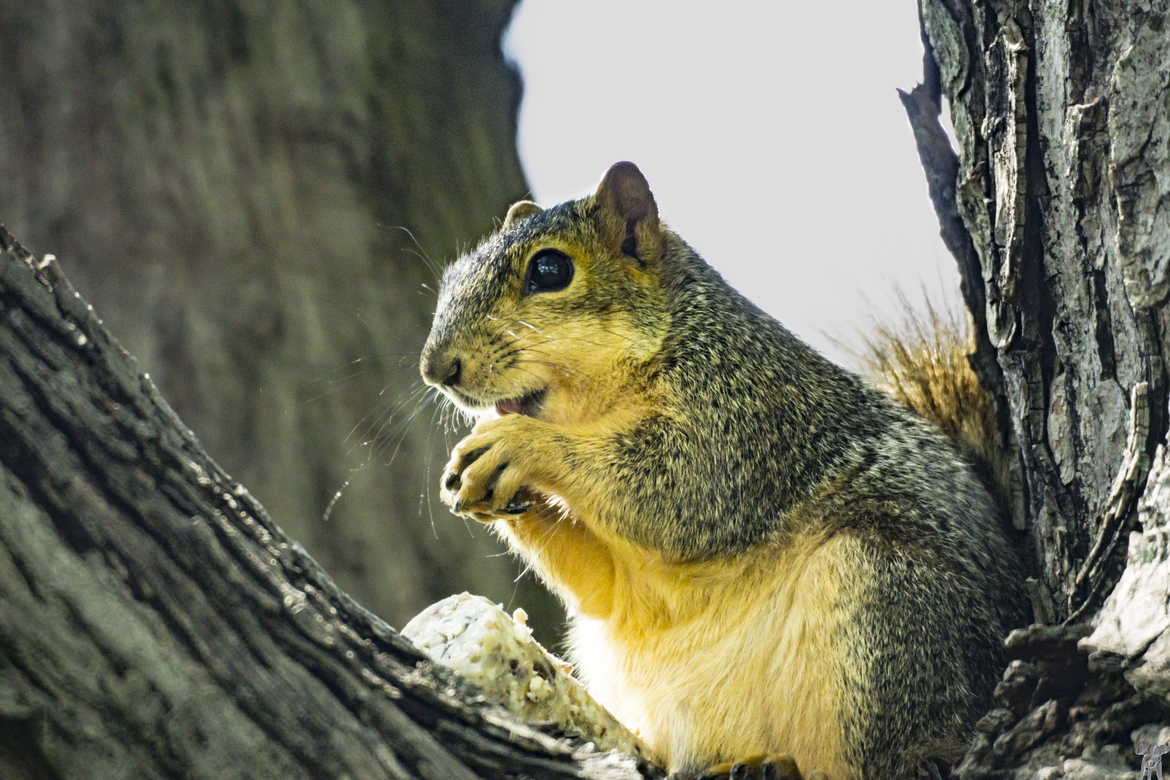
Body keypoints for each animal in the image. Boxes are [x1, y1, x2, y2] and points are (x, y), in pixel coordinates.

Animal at [419, 161, 1027, 779]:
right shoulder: (621, 576)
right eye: (453, 275)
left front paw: (518, 445)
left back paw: (780, 765)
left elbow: (676, 491)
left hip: (879, 606)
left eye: (550, 270)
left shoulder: (744, 419)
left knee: (888, 760)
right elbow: (599, 586)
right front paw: (481, 483)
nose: (436, 369)